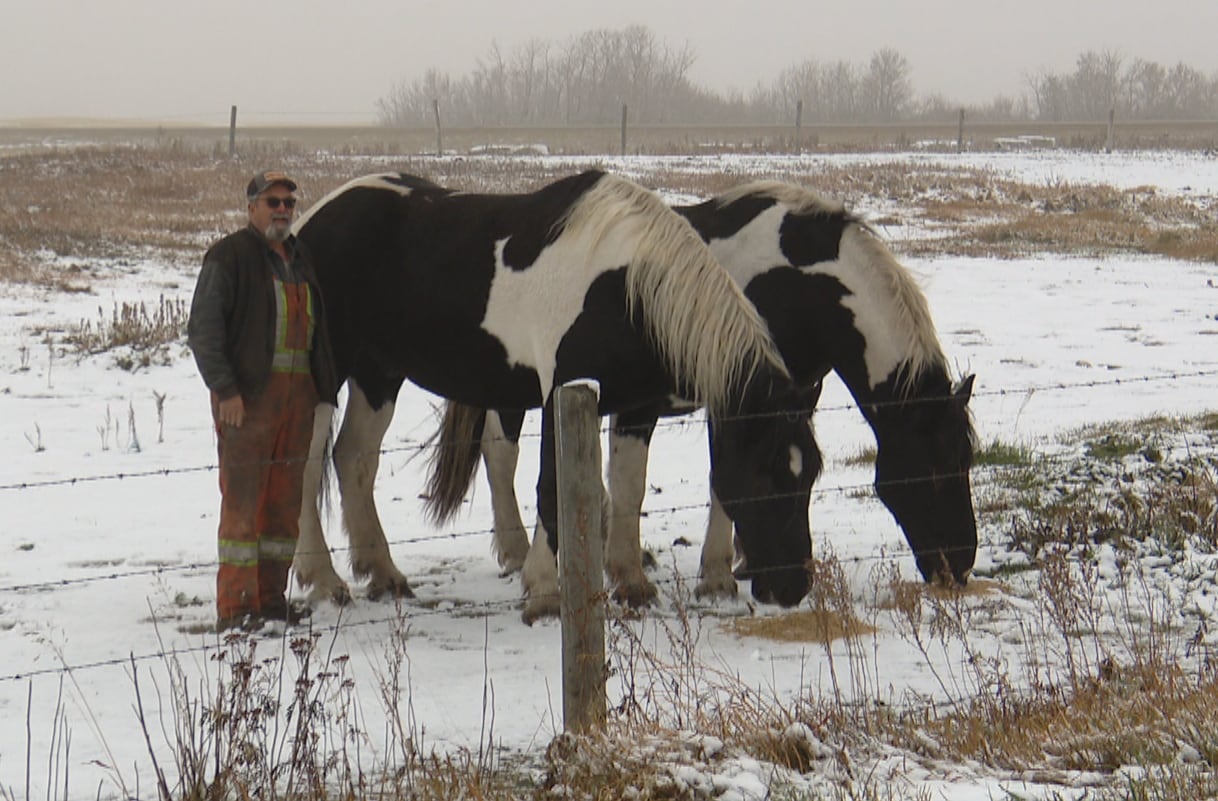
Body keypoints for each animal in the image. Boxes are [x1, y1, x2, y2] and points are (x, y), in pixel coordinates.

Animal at [289, 170, 821, 622]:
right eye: (766, 476)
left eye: (812, 473)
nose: (793, 587)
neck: (621, 288)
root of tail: (307, 224)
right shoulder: (560, 396)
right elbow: (551, 491)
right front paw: (544, 591)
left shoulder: (635, 407)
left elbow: (628, 487)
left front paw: (632, 583)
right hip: (324, 377)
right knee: (308, 467)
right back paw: (324, 581)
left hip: (378, 374)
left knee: (354, 458)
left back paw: (384, 574)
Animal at [423, 180, 978, 604]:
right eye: (932, 470)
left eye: (965, 462)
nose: (960, 564)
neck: (796, 280)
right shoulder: (735, 393)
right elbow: (718, 480)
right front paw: (717, 574)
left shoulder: (793, 391)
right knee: (500, 451)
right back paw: (518, 554)